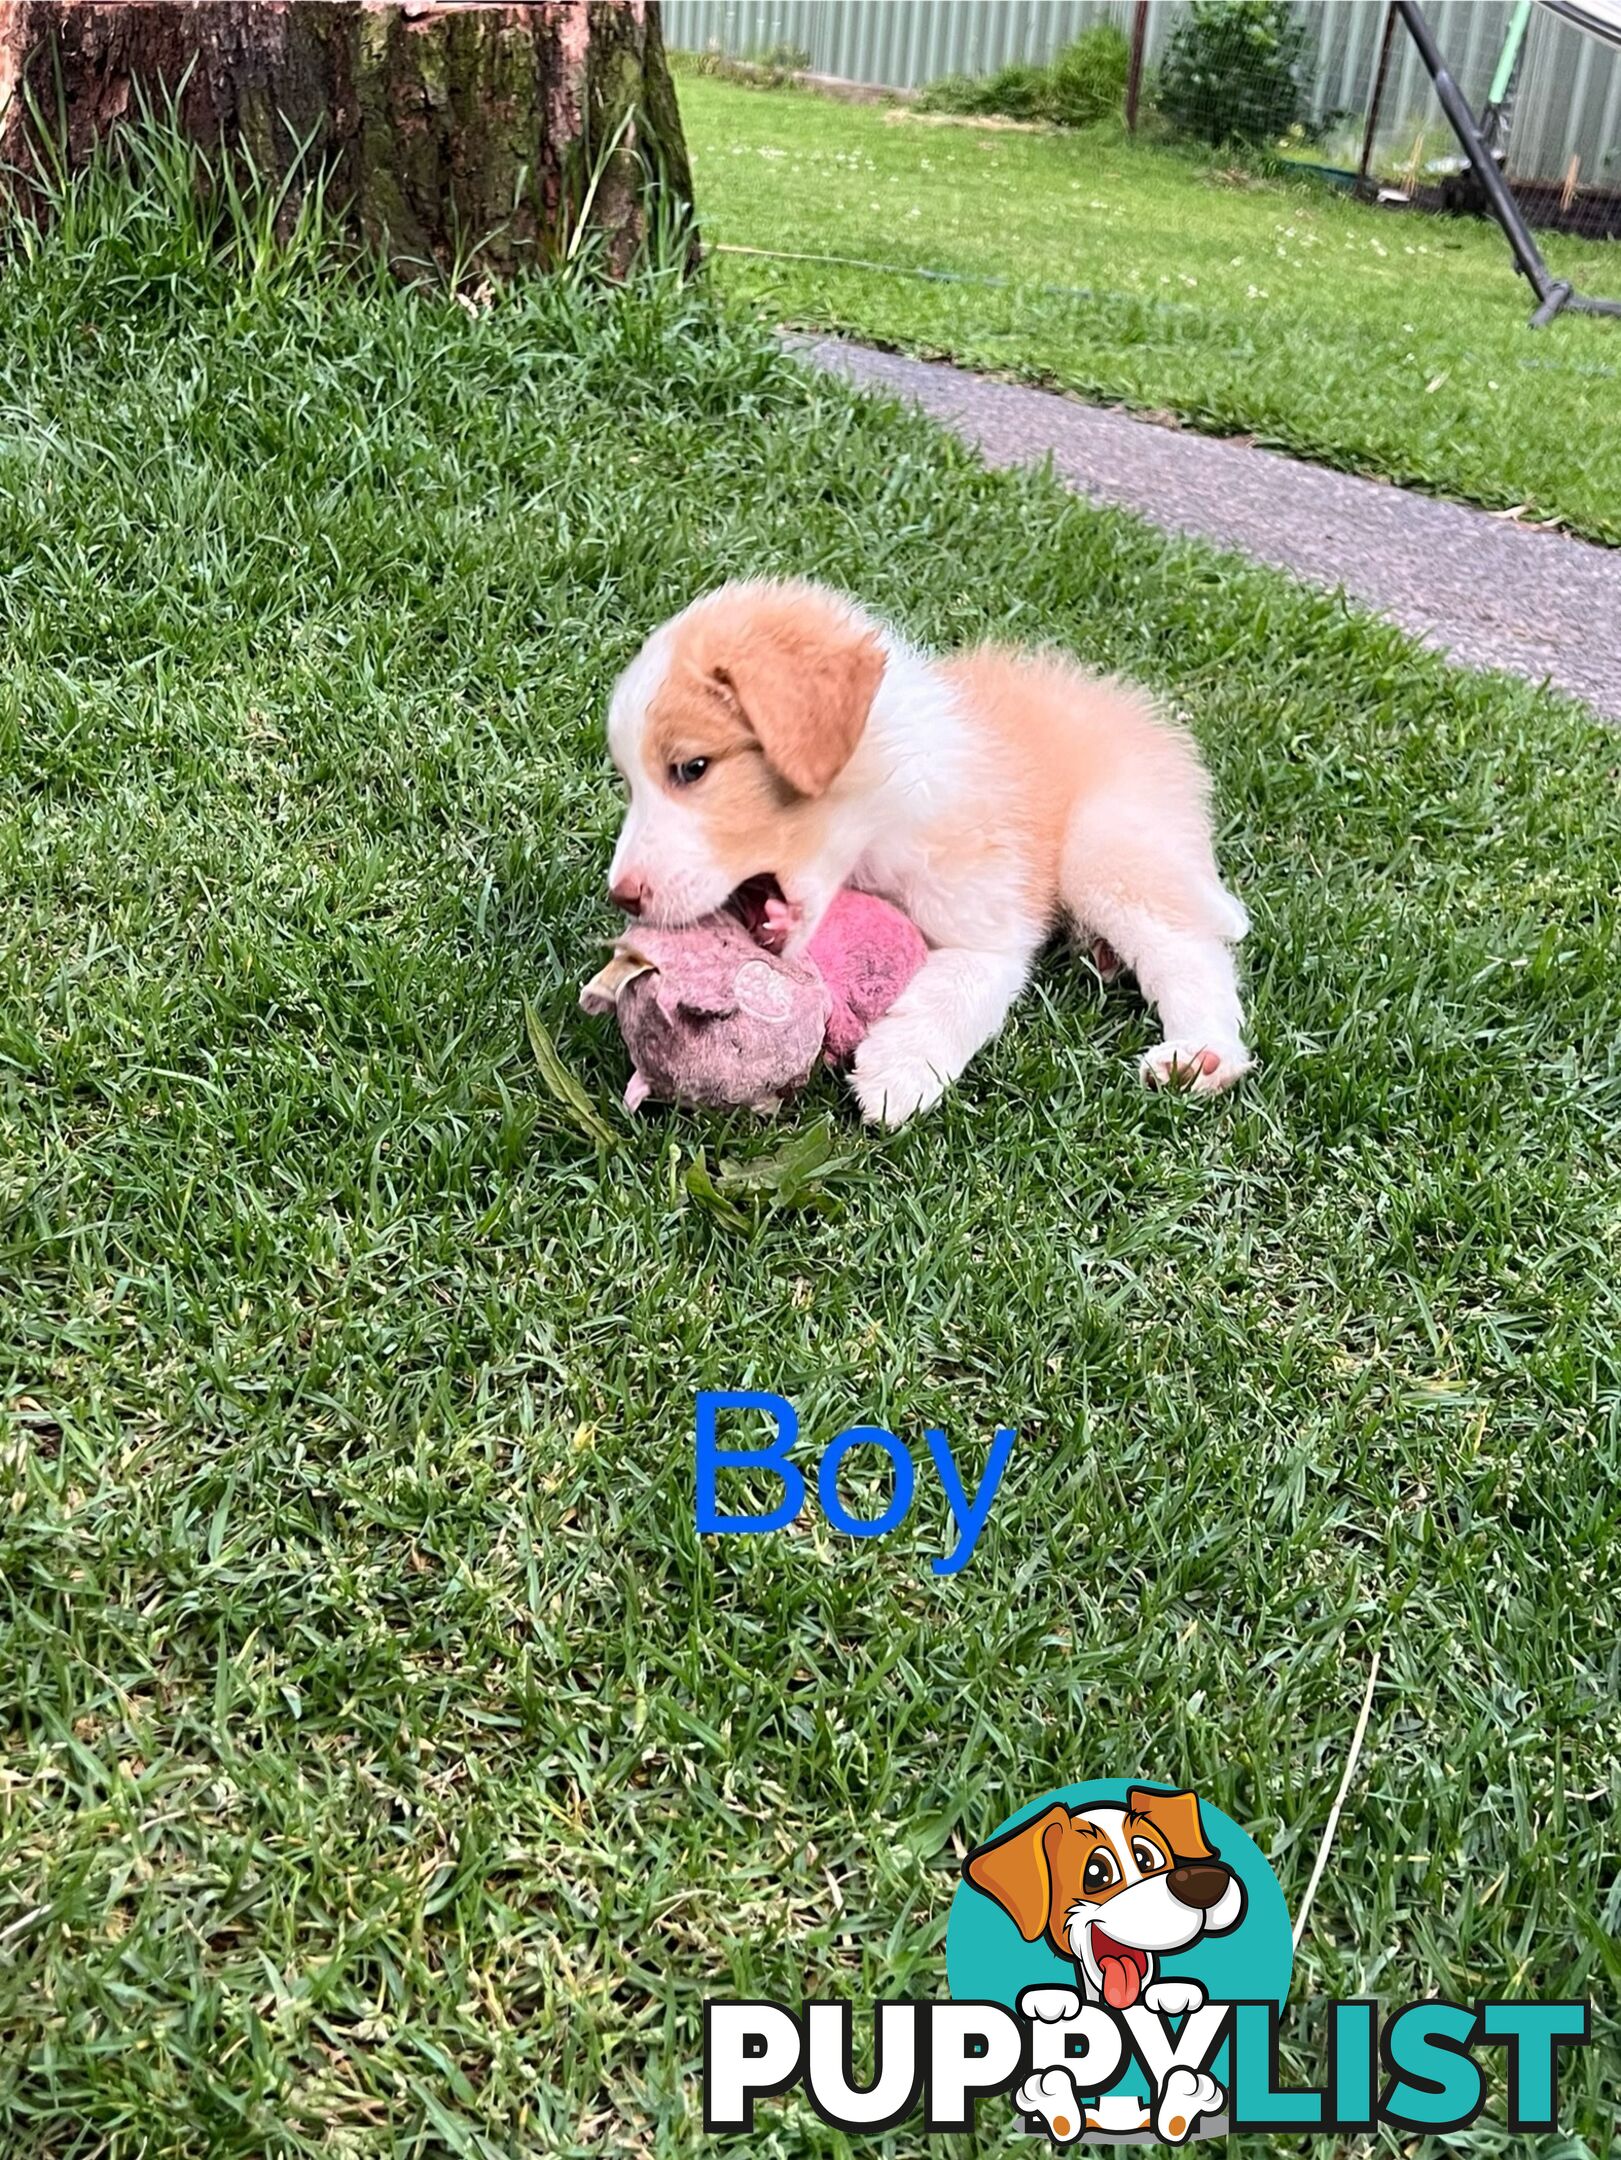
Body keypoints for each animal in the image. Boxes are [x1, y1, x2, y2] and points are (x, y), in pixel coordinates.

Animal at [605, 587, 1253, 1131]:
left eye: (692, 768)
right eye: (630, 782)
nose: (623, 895)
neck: (877, 823)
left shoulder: (992, 915)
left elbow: (961, 984)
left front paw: (899, 1070)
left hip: (1108, 844)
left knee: (1189, 949)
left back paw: (1202, 1053)